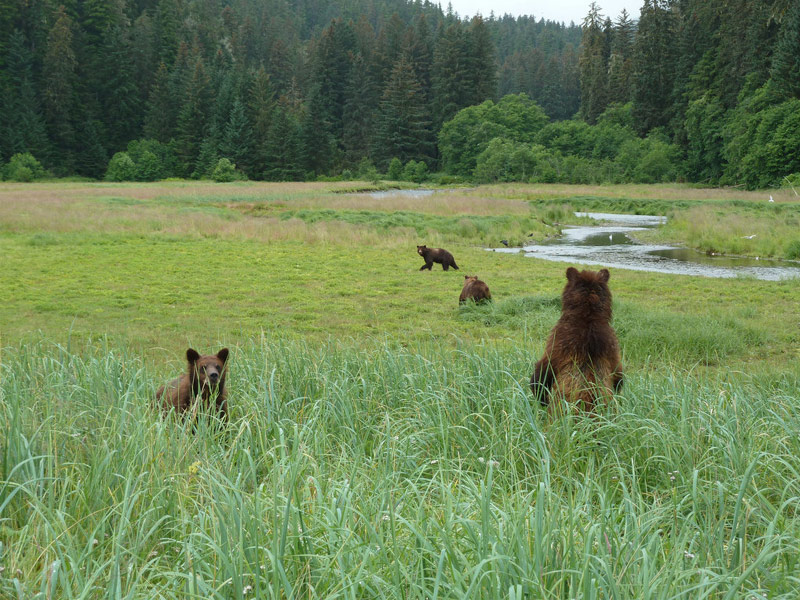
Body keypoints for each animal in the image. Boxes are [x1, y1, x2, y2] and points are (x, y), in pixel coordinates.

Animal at [532, 268, 624, 414]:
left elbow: (542, 372)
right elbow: (618, 375)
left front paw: (542, 398)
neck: (588, 315)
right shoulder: (612, 347)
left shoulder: (558, 343)